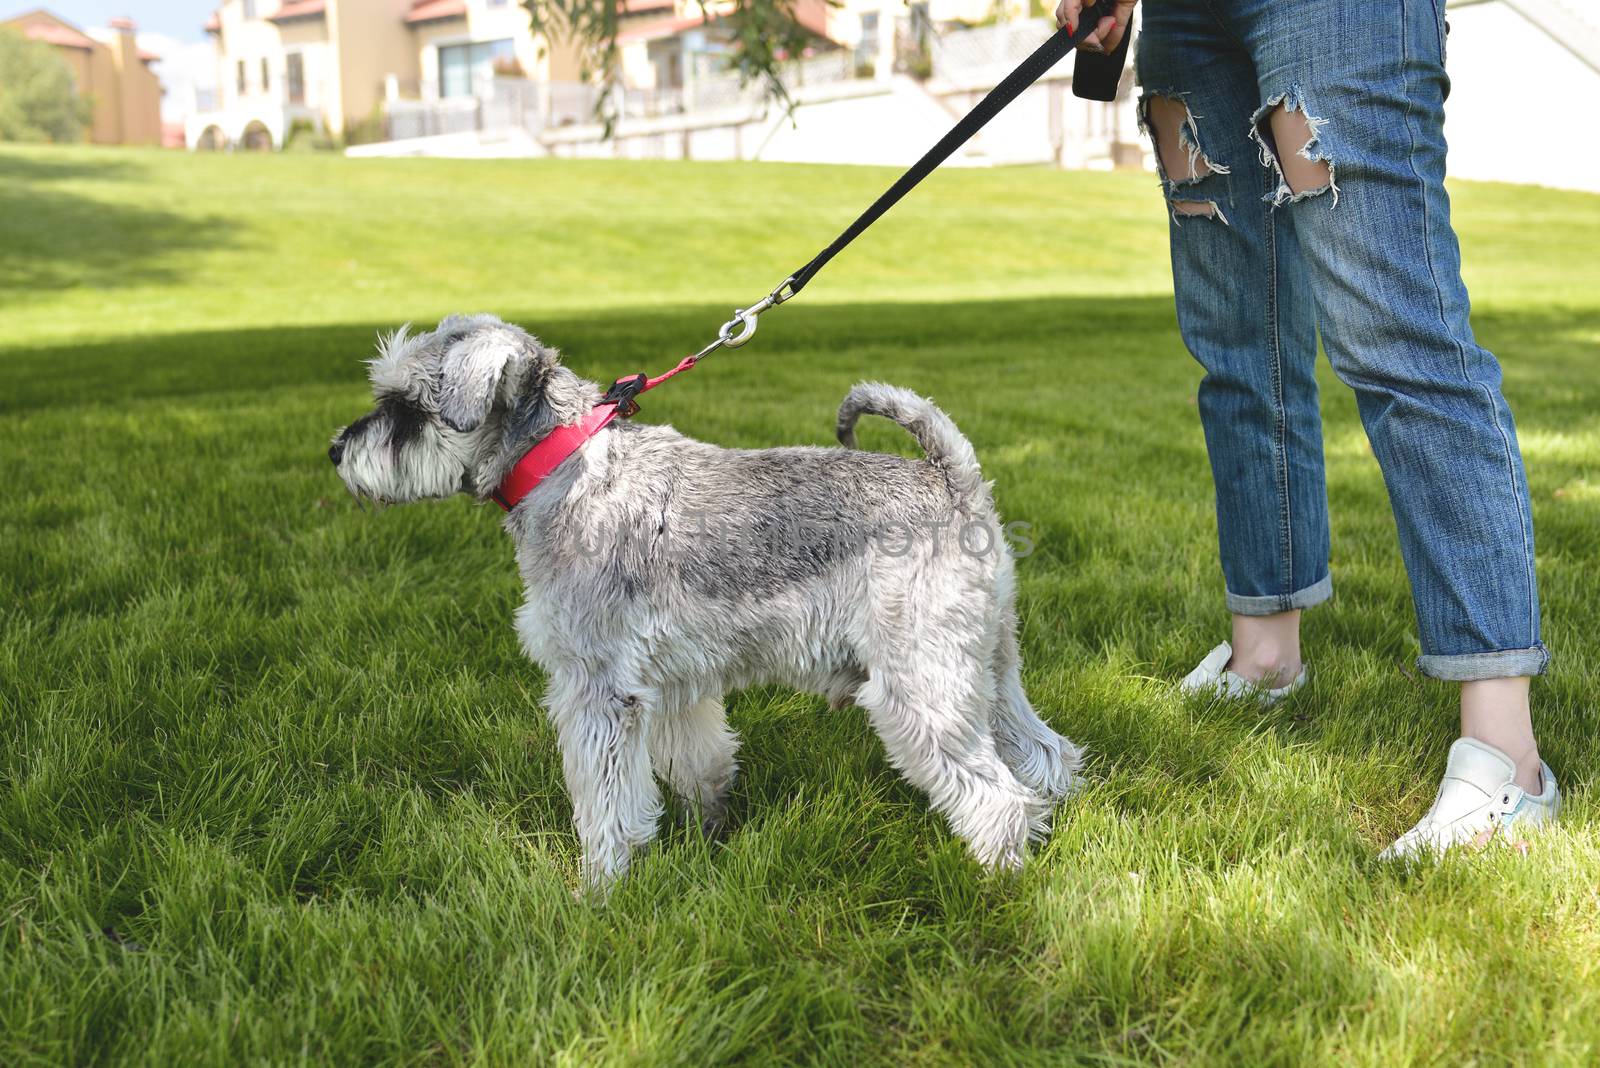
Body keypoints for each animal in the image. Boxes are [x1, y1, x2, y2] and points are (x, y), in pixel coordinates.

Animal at [334, 313, 1088, 888]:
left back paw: (996, 880)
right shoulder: (670, 685)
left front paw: (600, 887)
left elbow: (607, 804)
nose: (337, 450)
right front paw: (709, 829)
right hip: (987, 666)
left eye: (403, 406)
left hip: (920, 685)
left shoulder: (596, 688)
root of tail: (956, 481)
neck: (563, 464)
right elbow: (698, 762)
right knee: (1046, 754)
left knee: (997, 793)